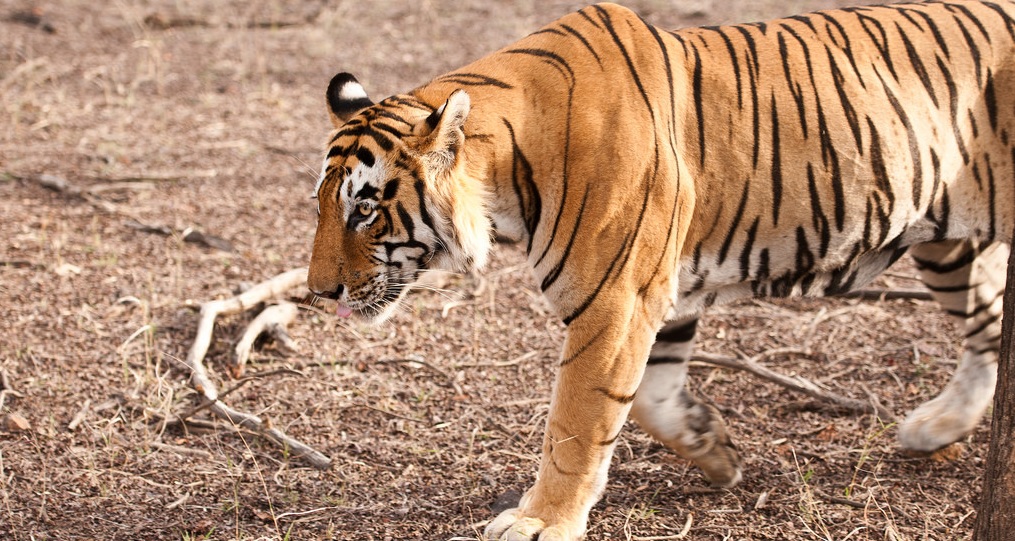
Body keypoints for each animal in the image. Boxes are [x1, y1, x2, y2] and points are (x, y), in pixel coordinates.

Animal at [306, 1, 1014, 539]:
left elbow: (576, 420)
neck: (508, 168)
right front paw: (715, 448)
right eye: (323, 204)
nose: (317, 292)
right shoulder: (659, 290)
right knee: (988, 325)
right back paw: (937, 429)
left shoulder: (615, 298)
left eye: (364, 209)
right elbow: (648, 396)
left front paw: (541, 522)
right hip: (946, 246)